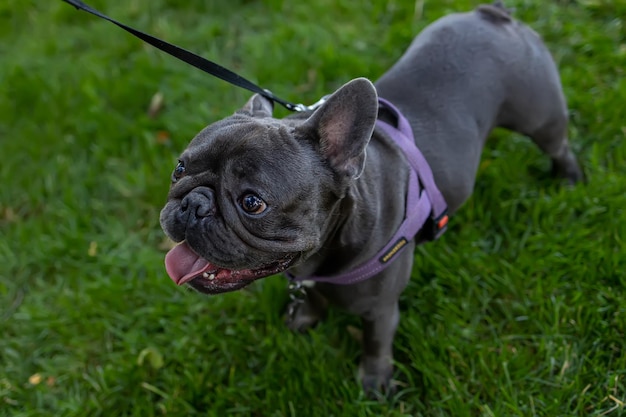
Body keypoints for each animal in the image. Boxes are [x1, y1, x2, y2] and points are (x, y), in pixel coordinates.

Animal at [160, 2, 580, 394]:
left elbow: (376, 342)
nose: (193, 203)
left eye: (252, 203)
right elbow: (312, 298)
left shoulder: (380, 309)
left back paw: (569, 178)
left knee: (557, 143)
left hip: (539, 117)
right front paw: (304, 319)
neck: (323, 252)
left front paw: (376, 384)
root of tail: (493, 14)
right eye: (179, 168)